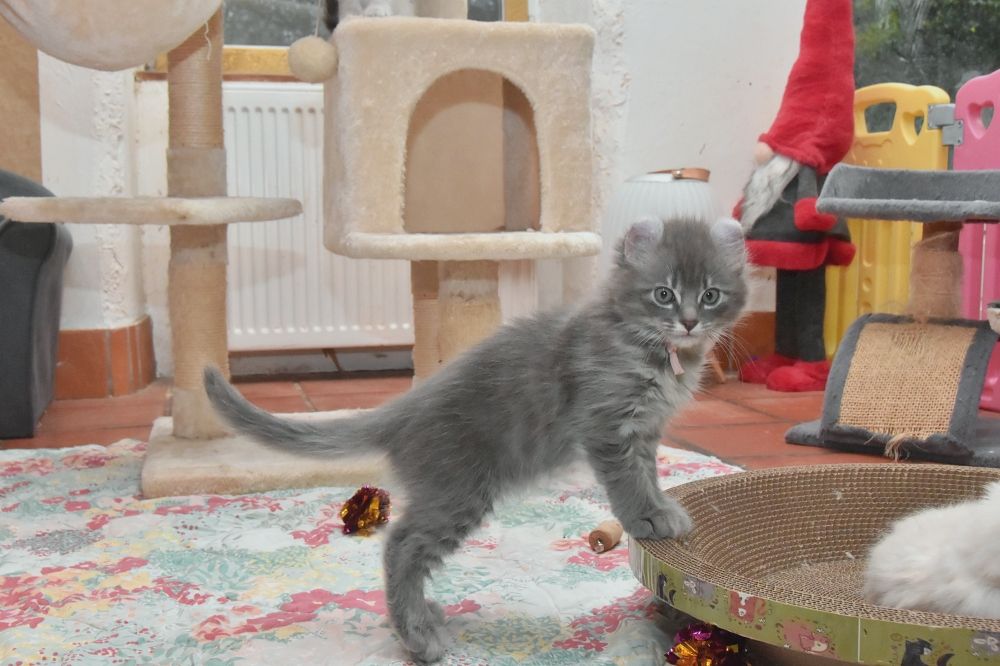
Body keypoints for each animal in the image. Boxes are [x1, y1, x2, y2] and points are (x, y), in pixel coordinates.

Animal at [203, 216, 749, 663]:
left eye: (711, 295)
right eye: (663, 294)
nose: (689, 322)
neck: (652, 350)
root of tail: (405, 407)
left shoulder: (646, 431)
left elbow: (649, 474)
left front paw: (663, 508)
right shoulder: (608, 426)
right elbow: (628, 482)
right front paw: (647, 518)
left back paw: (424, 617)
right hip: (458, 492)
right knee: (399, 546)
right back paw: (418, 637)